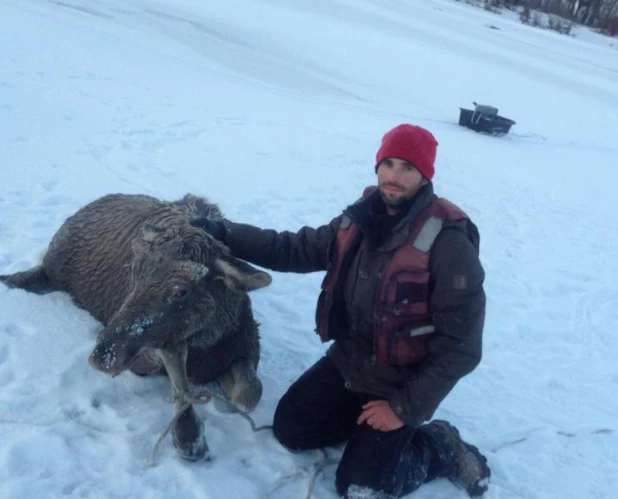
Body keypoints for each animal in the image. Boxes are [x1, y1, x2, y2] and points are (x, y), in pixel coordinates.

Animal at [0, 193, 270, 462]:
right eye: (134, 273)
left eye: (181, 291)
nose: (103, 357)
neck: (209, 343)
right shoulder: (154, 354)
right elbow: (175, 374)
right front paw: (188, 435)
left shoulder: (245, 348)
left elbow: (249, 394)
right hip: (54, 265)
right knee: (35, 274)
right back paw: (11, 278)